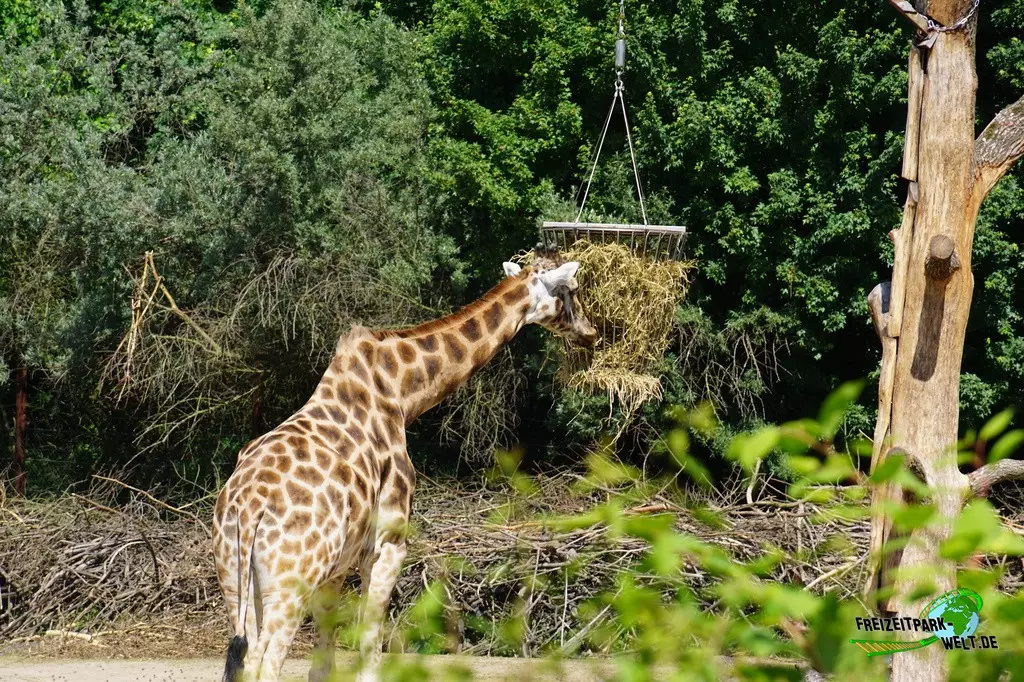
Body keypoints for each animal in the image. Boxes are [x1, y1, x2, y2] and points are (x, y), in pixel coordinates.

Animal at [213, 247, 598, 682]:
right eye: (571, 290)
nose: (591, 332)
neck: (402, 393)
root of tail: (247, 509)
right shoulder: (388, 541)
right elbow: (370, 647)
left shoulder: (338, 565)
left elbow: (324, 661)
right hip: (289, 582)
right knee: (266, 663)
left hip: (236, 579)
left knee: (244, 658)